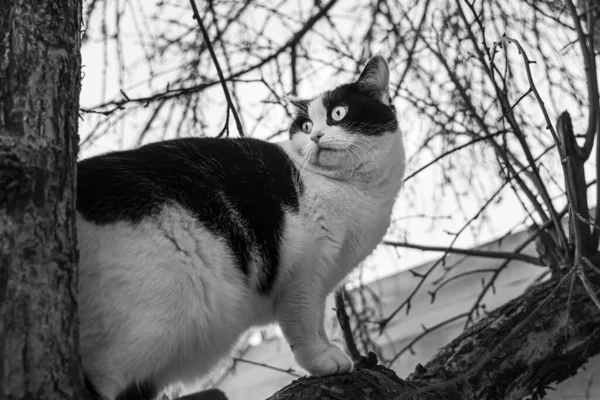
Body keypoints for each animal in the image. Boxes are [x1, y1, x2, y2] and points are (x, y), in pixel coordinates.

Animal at [77, 54, 406, 398]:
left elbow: (317, 320)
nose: (315, 136)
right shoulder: (303, 277)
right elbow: (304, 322)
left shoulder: (323, 278)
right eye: (305, 126)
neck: (355, 190)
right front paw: (321, 359)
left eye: (338, 113)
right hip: (150, 317)